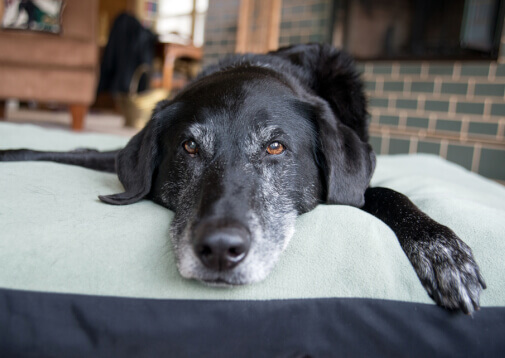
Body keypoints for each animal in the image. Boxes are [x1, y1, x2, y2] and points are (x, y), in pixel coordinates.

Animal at [0, 44, 484, 314]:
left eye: (276, 148)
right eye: (189, 147)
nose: (219, 250)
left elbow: (385, 192)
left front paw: (441, 249)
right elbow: (52, 151)